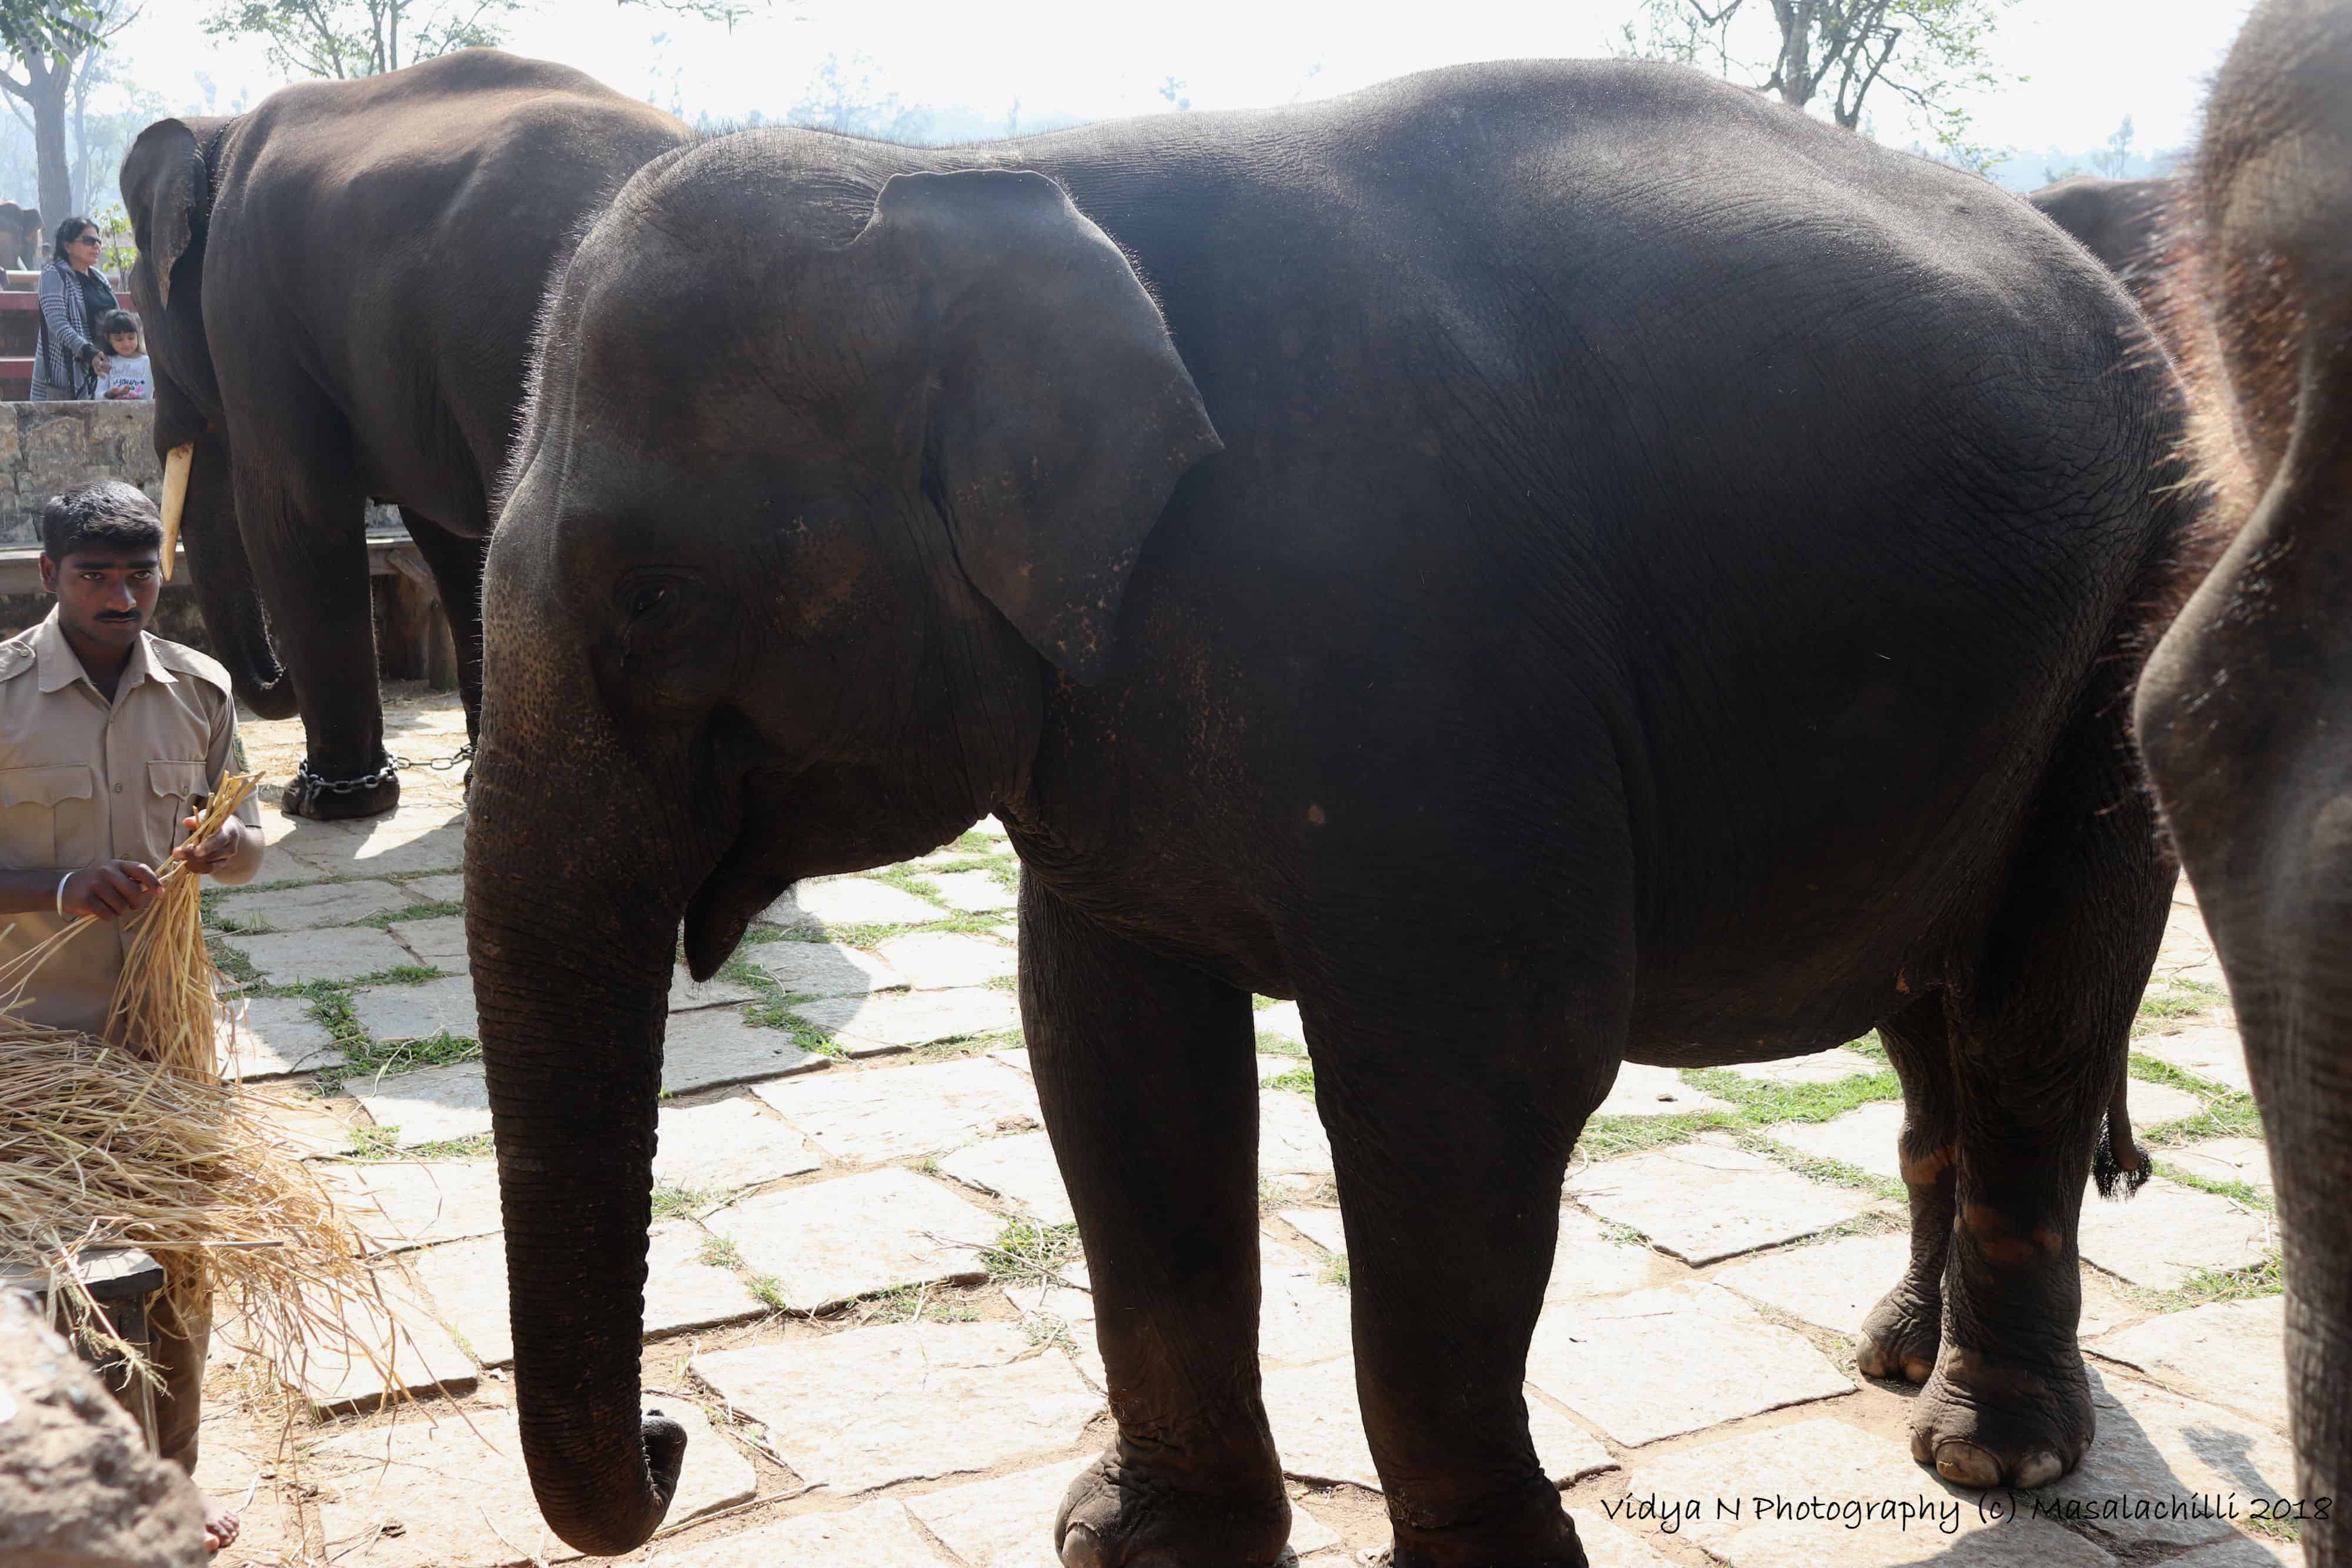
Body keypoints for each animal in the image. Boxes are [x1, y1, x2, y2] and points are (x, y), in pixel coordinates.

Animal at [118, 50, 689, 818]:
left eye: (139, 298)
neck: (218, 131)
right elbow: (451, 541)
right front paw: (464, 786)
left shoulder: (247, 301)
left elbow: (295, 512)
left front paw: (324, 803)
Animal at [470, 59, 2202, 1565]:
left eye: (655, 601)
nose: (674, 1438)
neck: (990, 184)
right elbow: (1113, 1057)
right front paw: (1139, 1543)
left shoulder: (1416, 637)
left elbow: (1470, 1082)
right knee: (1932, 1015)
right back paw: (1902, 1354)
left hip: (2139, 603)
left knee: (2034, 1022)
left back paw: (1992, 1451)